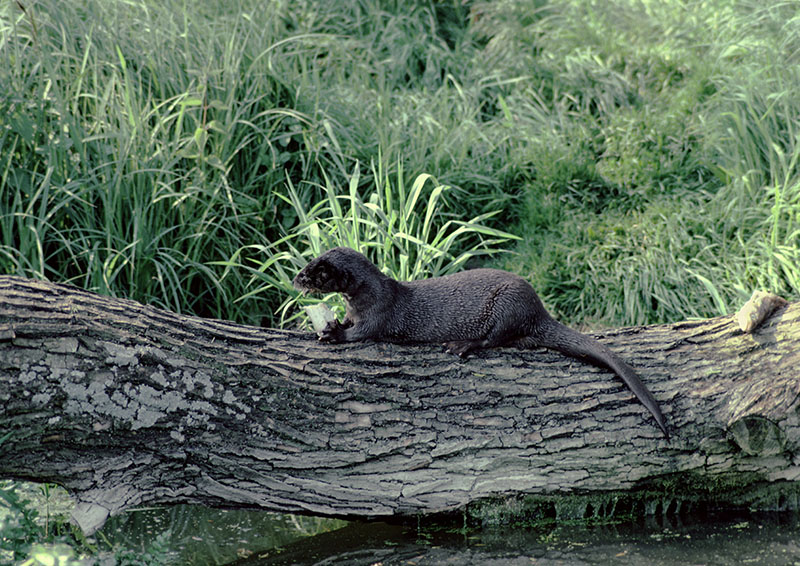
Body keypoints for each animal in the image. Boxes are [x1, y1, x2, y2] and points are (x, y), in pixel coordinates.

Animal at [293, 246, 669, 439]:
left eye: (315, 272)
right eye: (306, 264)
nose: (296, 279)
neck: (364, 298)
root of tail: (538, 309)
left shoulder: (379, 314)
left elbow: (361, 333)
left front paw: (332, 334)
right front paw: (330, 324)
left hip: (507, 305)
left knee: (495, 339)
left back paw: (462, 345)